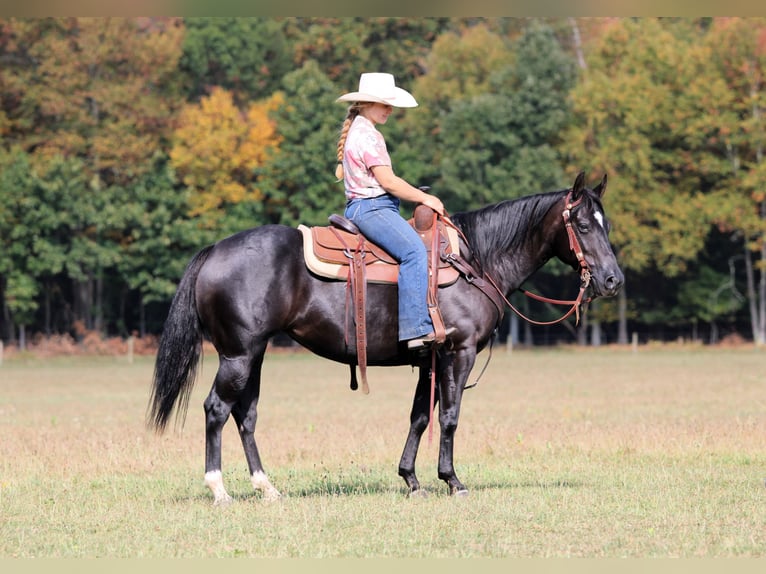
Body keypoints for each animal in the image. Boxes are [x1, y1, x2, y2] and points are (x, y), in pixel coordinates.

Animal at [147, 172, 624, 504]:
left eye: (606, 224)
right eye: (582, 224)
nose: (612, 280)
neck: (476, 261)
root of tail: (214, 250)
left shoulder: (430, 358)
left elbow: (419, 417)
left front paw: (412, 480)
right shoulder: (458, 352)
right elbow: (449, 417)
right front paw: (453, 481)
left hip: (254, 355)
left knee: (245, 416)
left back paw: (267, 488)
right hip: (238, 355)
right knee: (216, 409)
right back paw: (219, 489)